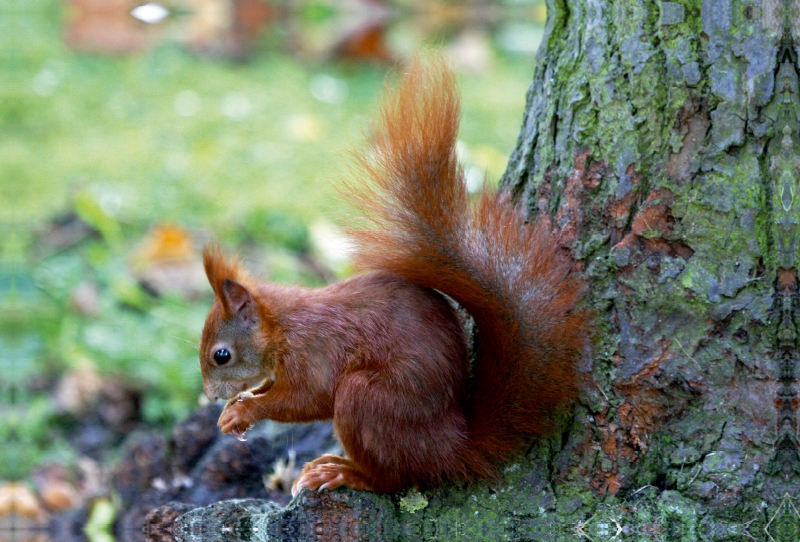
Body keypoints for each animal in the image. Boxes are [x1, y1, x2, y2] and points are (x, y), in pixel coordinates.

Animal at [200, 59, 588, 498]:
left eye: (221, 355)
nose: (210, 396)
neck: (282, 326)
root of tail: (452, 446)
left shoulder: (313, 353)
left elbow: (307, 399)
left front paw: (245, 410)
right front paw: (237, 404)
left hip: (369, 401)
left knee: (394, 478)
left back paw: (343, 472)